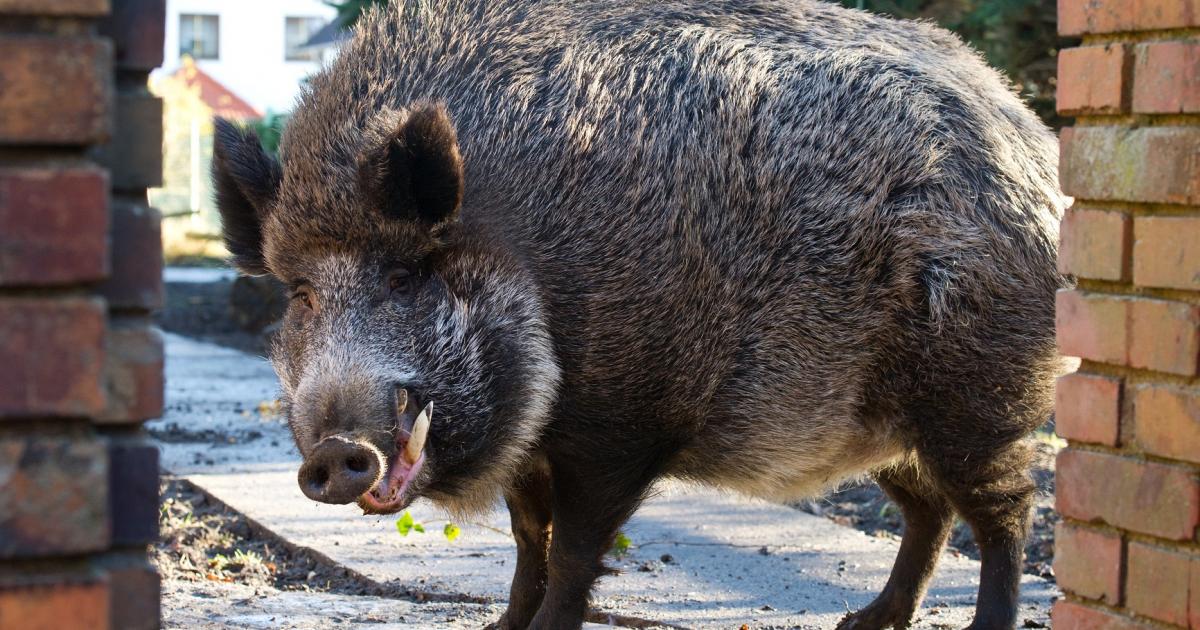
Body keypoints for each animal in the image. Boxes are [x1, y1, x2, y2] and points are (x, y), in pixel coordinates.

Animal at [211, 1, 1066, 628]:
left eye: (401, 273)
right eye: (301, 294)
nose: (334, 451)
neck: (520, 252)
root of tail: (1034, 146)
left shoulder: (620, 425)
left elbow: (573, 550)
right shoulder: (535, 447)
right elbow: (527, 541)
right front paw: (503, 628)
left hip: (979, 395)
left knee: (1006, 512)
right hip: (888, 427)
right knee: (931, 512)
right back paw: (862, 622)